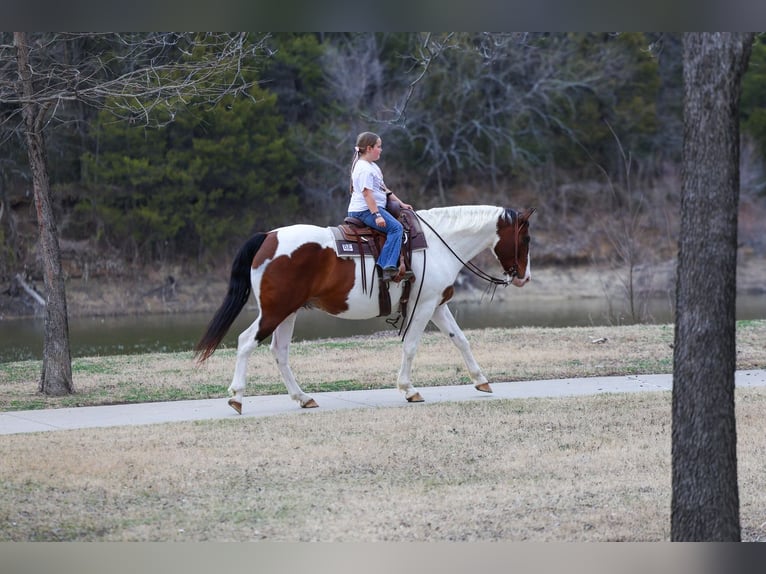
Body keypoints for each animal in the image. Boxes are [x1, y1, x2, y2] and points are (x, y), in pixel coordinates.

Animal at [194, 204, 536, 413]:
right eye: (526, 238)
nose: (524, 277)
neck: (439, 244)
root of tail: (269, 237)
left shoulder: (437, 305)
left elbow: (460, 339)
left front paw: (481, 380)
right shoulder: (424, 305)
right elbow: (411, 346)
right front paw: (408, 389)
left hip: (288, 313)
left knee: (279, 352)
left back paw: (303, 398)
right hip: (275, 311)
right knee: (246, 342)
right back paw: (237, 397)